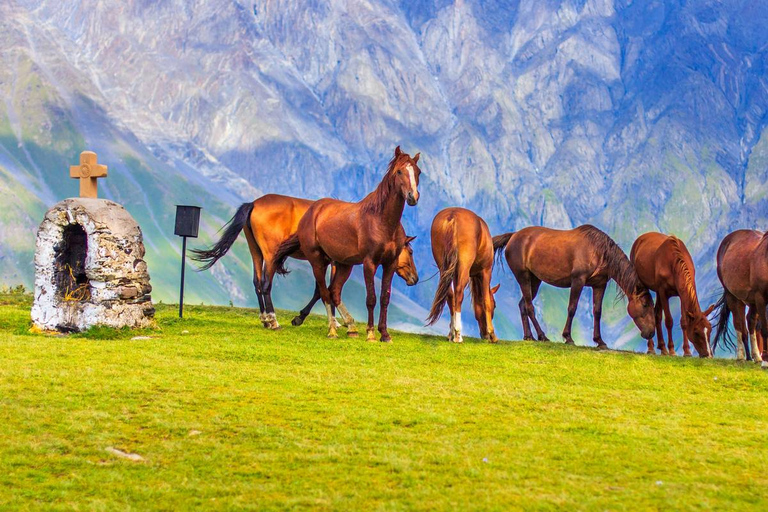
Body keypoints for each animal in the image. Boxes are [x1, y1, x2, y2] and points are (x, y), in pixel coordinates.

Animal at [192, 194, 420, 330]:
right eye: (410, 251)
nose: (415, 278)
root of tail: (255, 203)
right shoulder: (334, 262)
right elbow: (324, 290)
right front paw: (314, 319)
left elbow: (325, 290)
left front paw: (333, 320)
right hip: (270, 255)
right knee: (265, 285)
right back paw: (273, 319)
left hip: (255, 251)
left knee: (257, 284)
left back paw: (264, 319)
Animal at [274, 146, 424, 342]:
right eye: (399, 171)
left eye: (418, 172)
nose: (413, 197)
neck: (382, 222)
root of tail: (312, 211)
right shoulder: (369, 263)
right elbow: (371, 298)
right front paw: (370, 333)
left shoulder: (390, 264)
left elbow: (384, 298)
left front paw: (384, 334)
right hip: (318, 261)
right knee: (325, 293)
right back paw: (332, 329)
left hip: (344, 264)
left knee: (334, 291)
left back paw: (351, 327)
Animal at [426, 208, 498, 344]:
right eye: (495, 305)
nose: (484, 334)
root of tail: (452, 216)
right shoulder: (486, 271)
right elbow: (485, 300)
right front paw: (492, 334)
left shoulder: (455, 273)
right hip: (464, 266)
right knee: (458, 293)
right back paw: (458, 334)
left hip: (444, 268)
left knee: (450, 294)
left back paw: (452, 334)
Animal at [492, 225, 656, 348]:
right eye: (645, 304)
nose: (651, 333)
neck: (597, 250)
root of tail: (514, 235)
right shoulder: (578, 280)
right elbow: (572, 308)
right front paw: (568, 337)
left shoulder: (599, 285)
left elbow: (597, 311)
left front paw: (600, 341)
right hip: (523, 277)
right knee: (529, 307)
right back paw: (542, 336)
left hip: (535, 280)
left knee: (523, 305)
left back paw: (529, 336)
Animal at [712, 228, 768, 364]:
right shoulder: (761, 298)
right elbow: (765, 329)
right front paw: (766, 361)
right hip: (734, 297)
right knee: (739, 323)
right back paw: (742, 356)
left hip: (751, 301)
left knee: (750, 322)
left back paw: (755, 356)